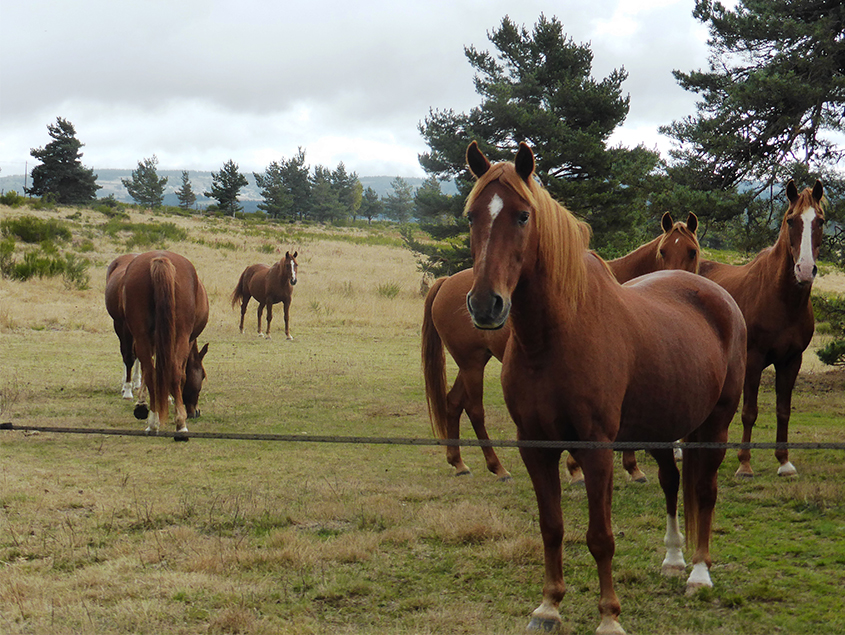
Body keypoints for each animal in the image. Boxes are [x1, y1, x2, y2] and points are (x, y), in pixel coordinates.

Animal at [119, 251, 209, 434]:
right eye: (202, 376)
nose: (195, 412)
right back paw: (181, 425)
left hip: (142, 336)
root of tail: (160, 259)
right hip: (181, 336)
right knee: (175, 372)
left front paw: (143, 403)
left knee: (151, 372)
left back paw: (153, 422)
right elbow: (181, 376)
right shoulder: (188, 341)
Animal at [422, 214, 700, 482]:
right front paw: (579, 469)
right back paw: (498, 468)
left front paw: (630, 468)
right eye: (663, 251)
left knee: (453, 402)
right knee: (474, 409)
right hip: (472, 364)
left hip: (473, 362)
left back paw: (458, 463)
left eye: (692, 251)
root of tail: (446, 282)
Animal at [462, 143, 744, 635]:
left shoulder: (596, 448)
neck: (554, 337)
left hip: (716, 424)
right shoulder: (535, 446)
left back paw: (698, 574)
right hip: (662, 427)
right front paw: (549, 606)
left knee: (705, 491)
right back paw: (673, 559)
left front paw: (609, 615)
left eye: (522, 215)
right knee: (673, 483)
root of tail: (716, 294)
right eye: (473, 215)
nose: (484, 304)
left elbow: (600, 536)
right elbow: (552, 527)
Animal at [700, 179, 824, 476]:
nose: (805, 270)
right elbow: (749, 411)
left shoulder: (792, 360)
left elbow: (783, 410)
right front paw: (744, 463)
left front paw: (784, 461)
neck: (782, 299)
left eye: (821, 221)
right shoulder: (754, 359)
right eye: (790, 220)